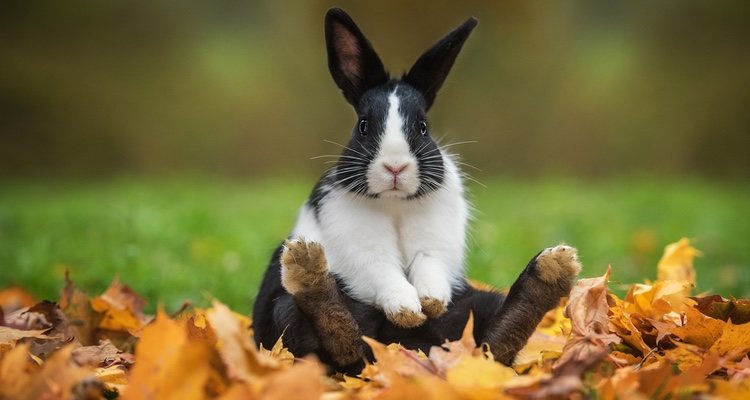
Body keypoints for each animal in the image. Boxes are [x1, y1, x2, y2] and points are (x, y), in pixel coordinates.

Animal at [253, 7, 580, 374]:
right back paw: (308, 268)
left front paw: (430, 302)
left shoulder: (435, 244)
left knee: (493, 345)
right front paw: (408, 310)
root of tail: (412, 350)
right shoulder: (361, 247)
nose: (395, 167)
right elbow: (383, 270)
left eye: (423, 127)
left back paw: (550, 271)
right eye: (363, 126)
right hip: (286, 313)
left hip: (475, 306)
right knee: (340, 343)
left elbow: (429, 265)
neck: (395, 203)